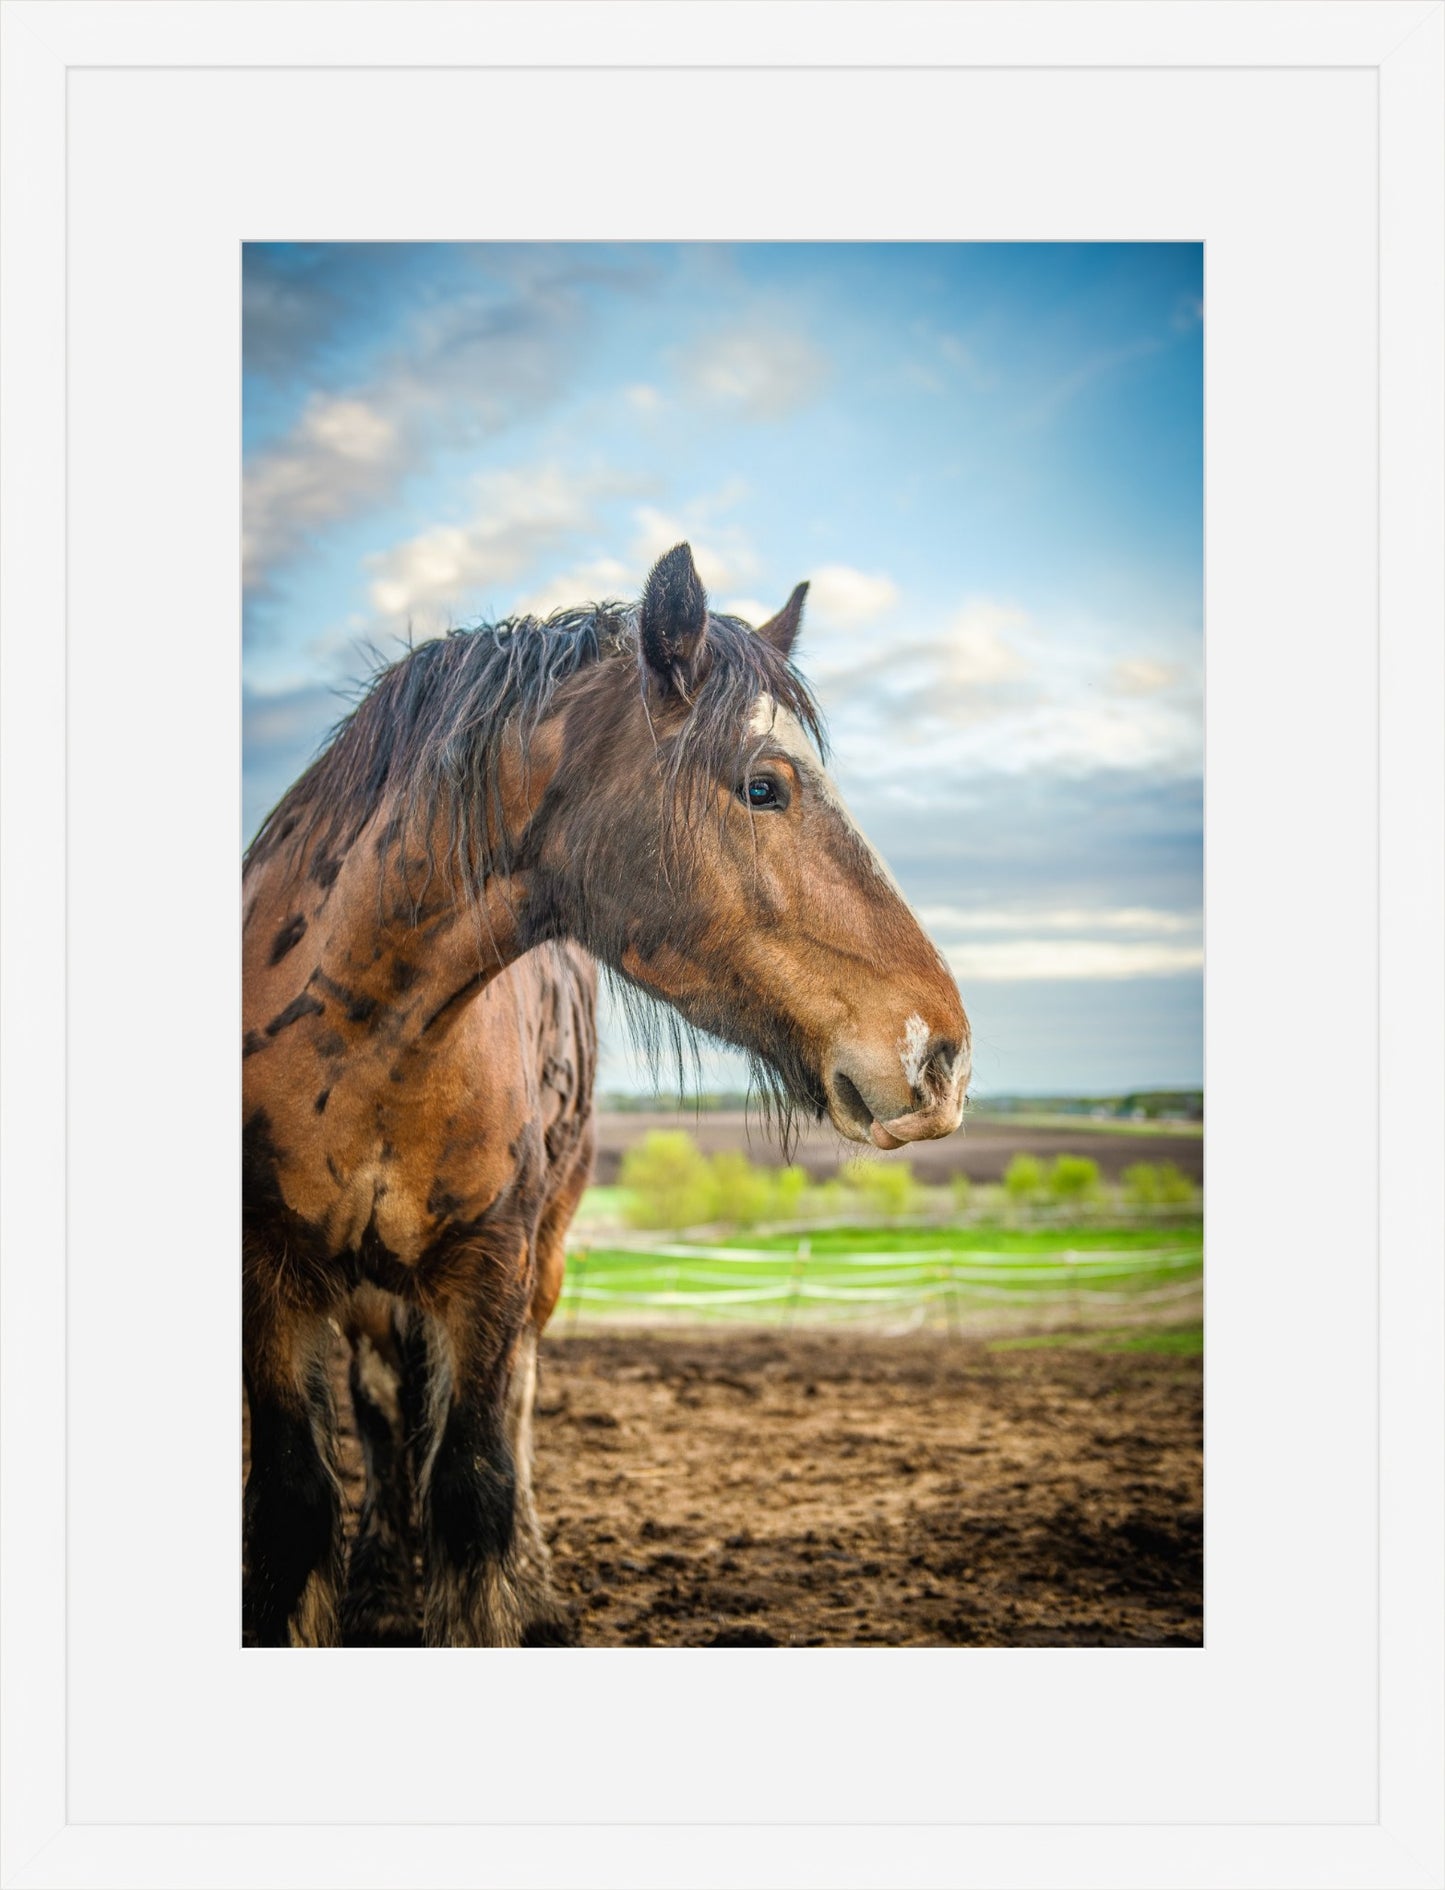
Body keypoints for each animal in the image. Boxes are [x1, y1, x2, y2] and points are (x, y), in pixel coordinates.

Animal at [241, 540, 967, 1648]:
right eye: (764, 786)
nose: (943, 1055)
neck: (362, 1038)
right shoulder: (271, 1280)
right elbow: (296, 1508)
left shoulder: (487, 1268)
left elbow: (475, 1490)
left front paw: (505, 1596)